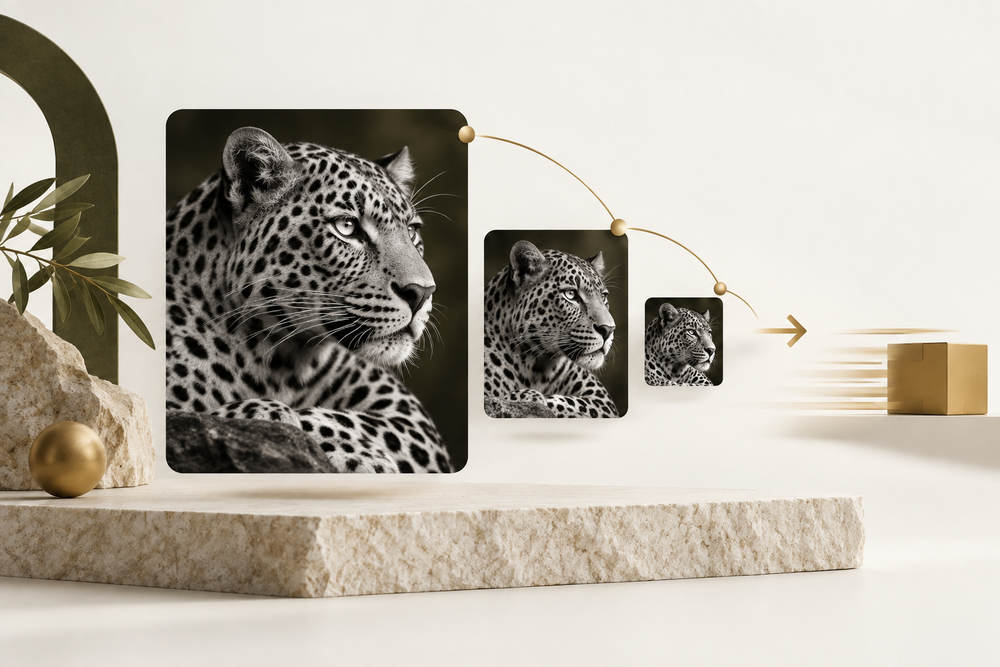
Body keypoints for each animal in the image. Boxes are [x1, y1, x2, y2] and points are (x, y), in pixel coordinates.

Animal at [165, 126, 451, 473]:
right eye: (347, 227)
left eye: (411, 231)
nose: (422, 293)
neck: (277, 363)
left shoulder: (412, 419)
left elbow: (353, 422)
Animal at [483, 240, 619, 418]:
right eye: (570, 294)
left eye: (603, 296)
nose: (608, 330)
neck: (535, 367)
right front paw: (527, 397)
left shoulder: (602, 401)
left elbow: (567, 402)